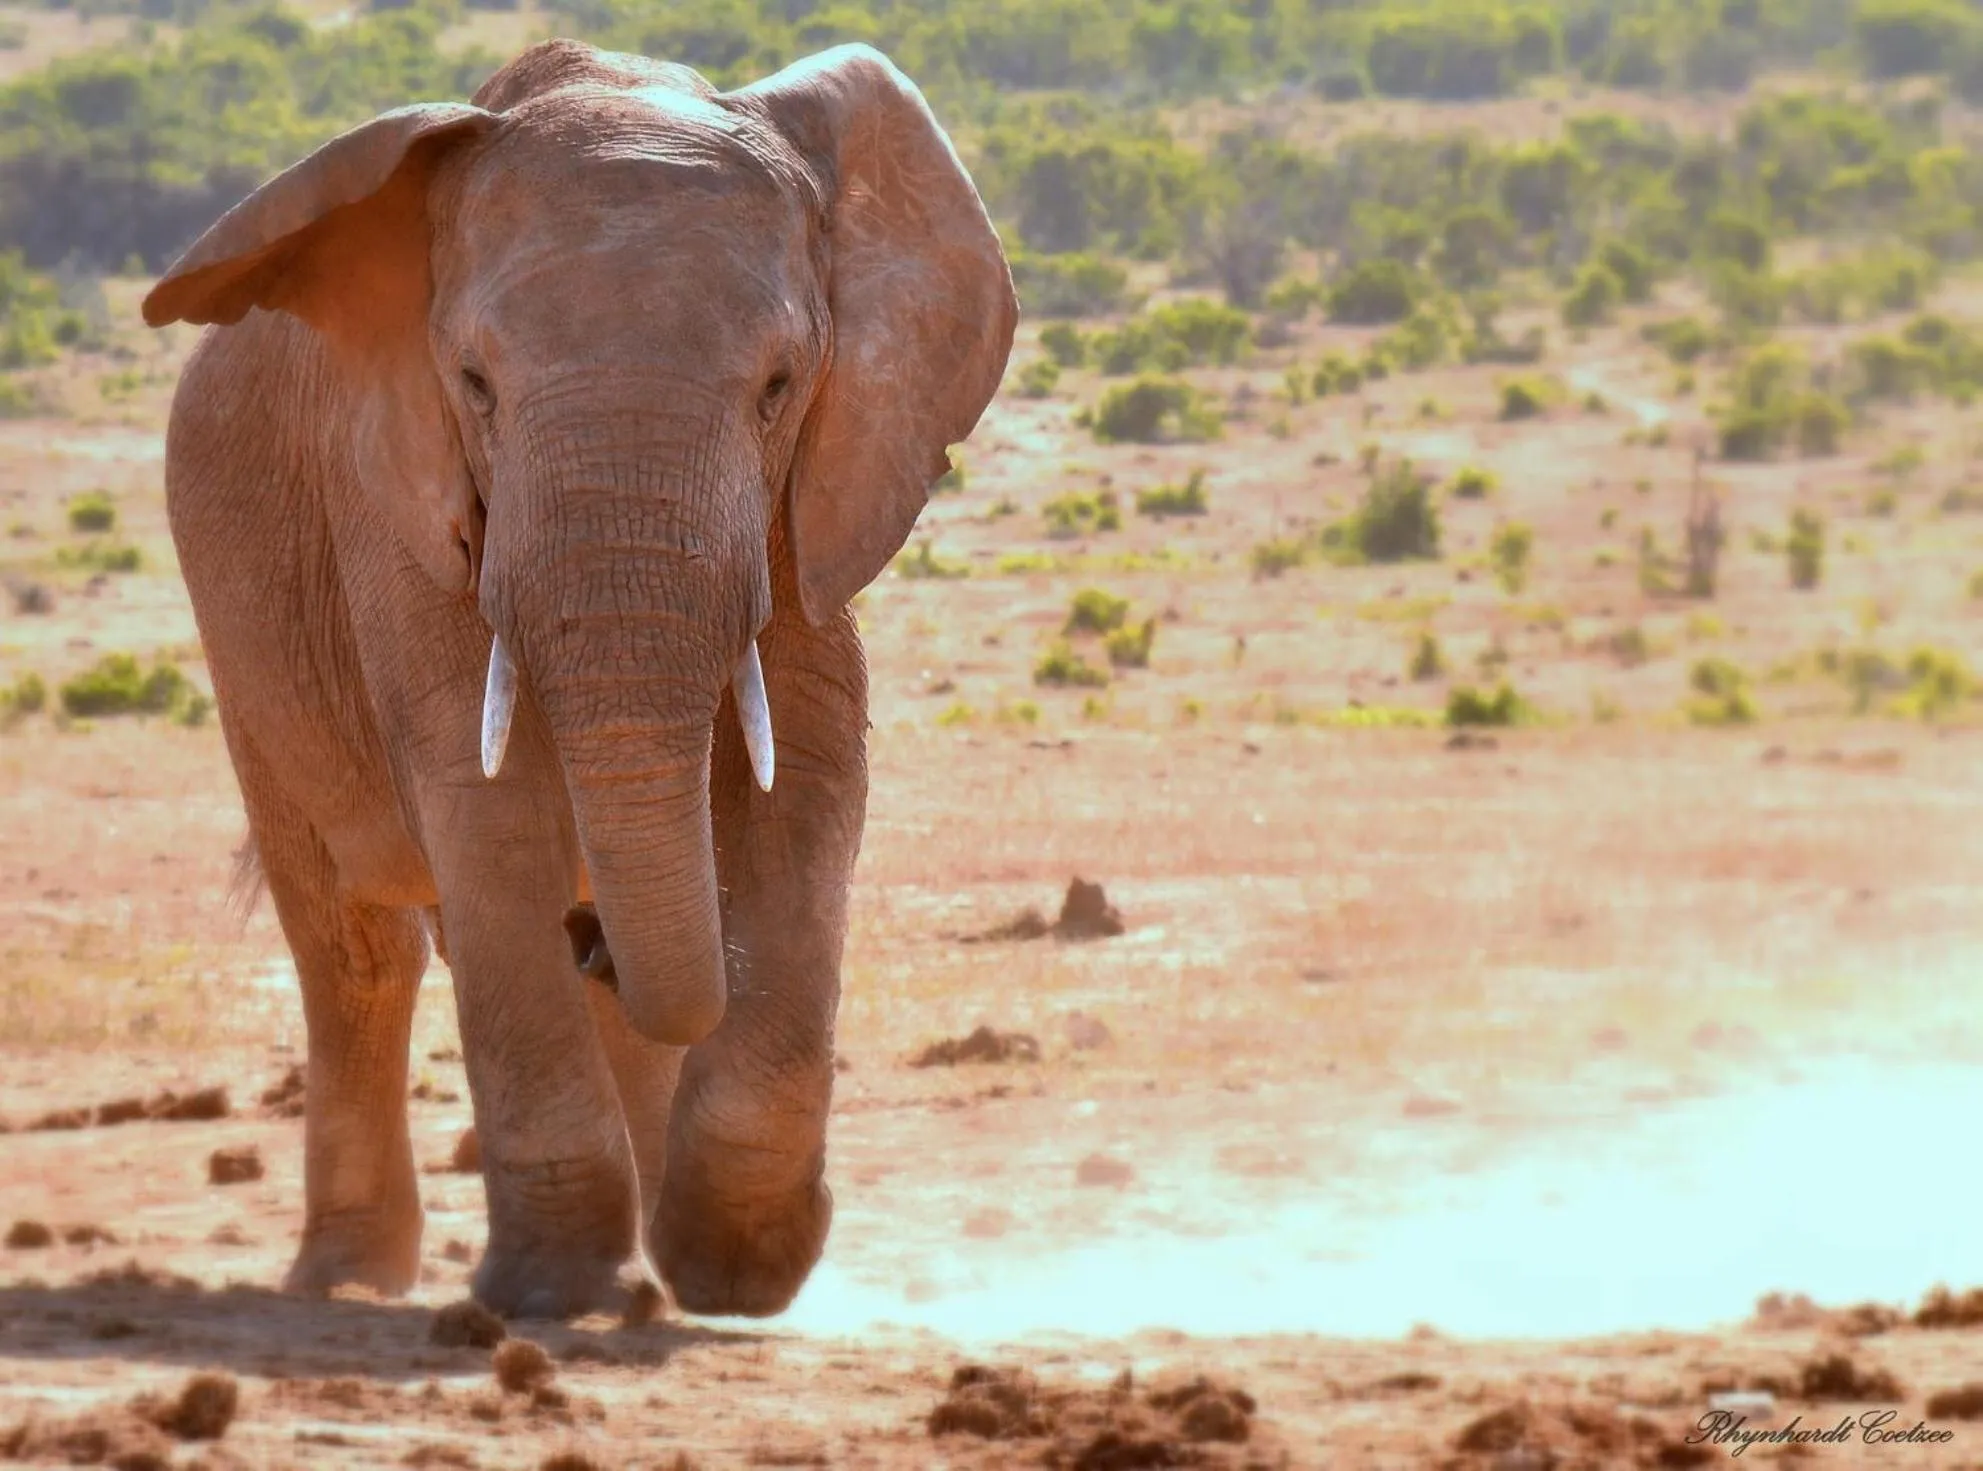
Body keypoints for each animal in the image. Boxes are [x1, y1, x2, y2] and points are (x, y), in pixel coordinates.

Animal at [139, 37, 1017, 1319]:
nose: (599, 938)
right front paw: (546, 1290)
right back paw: (351, 1280)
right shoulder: (401, 504)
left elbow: (803, 787)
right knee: (359, 951)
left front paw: (736, 1268)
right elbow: (487, 810)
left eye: (780, 386)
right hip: (241, 623)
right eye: (474, 384)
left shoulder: (814, 500)